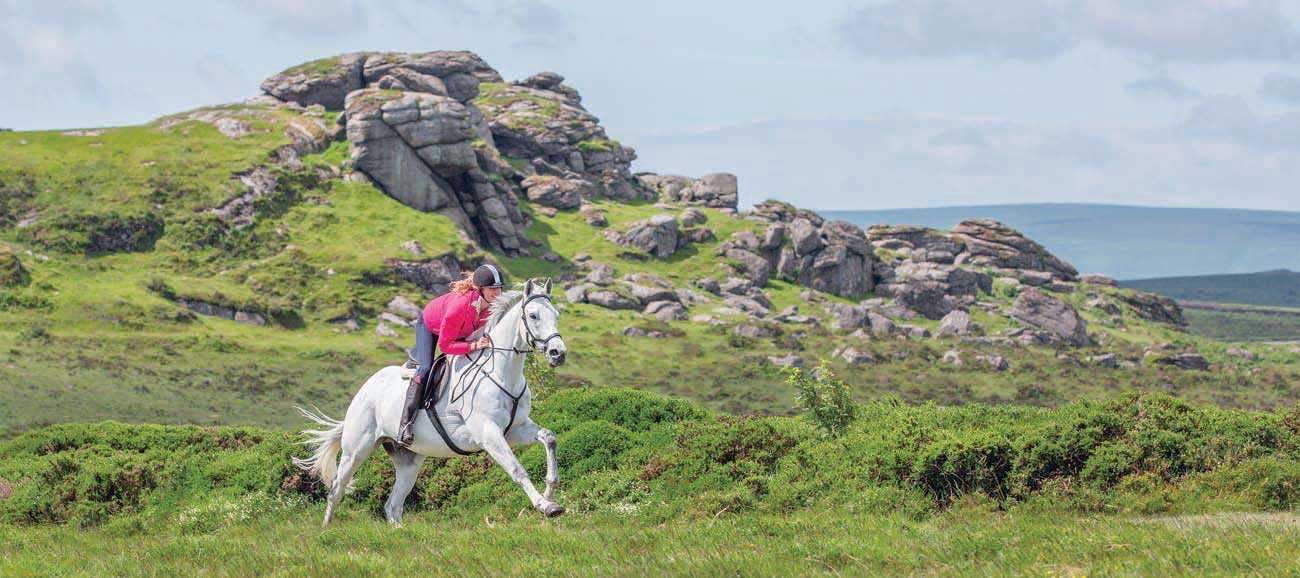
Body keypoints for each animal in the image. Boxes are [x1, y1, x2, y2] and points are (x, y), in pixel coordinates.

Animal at [295, 276, 569, 524]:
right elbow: (517, 469)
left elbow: (549, 438)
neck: (500, 372)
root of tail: (365, 389)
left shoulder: (515, 429)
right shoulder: (488, 434)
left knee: (393, 505)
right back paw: (326, 529)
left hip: (408, 460)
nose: (559, 353)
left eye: (556, 315)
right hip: (357, 448)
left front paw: (550, 492)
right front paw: (545, 505)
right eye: (533, 315)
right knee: (336, 489)